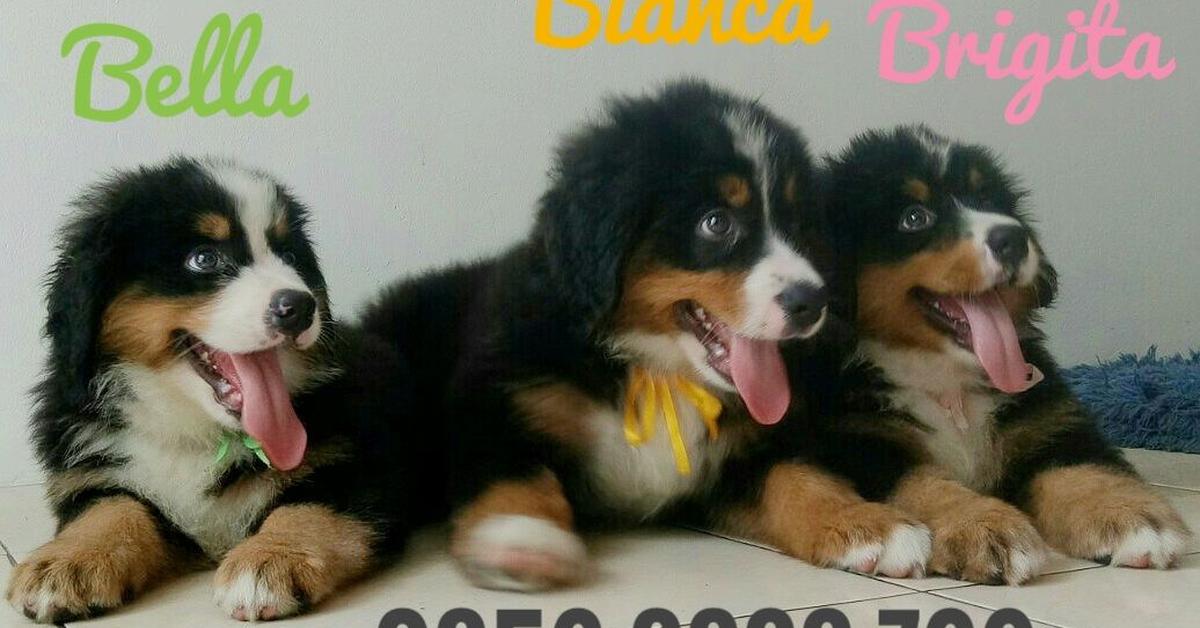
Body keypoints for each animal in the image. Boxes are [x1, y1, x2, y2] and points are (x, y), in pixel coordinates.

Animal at [2, 158, 427, 624]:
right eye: (204, 258)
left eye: (290, 256)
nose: (299, 307)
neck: (196, 431)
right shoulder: (92, 472)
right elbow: (109, 509)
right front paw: (65, 563)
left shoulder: (364, 466)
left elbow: (309, 506)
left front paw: (269, 560)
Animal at [360, 81, 931, 593]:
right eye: (716, 223)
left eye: (798, 225)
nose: (812, 301)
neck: (657, 368)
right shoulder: (497, 393)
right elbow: (513, 469)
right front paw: (521, 538)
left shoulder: (742, 453)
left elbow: (799, 476)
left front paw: (870, 526)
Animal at [811, 125, 1195, 588]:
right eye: (915, 217)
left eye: (989, 201)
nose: (1012, 238)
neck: (946, 380)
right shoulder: (862, 443)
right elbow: (926, 486)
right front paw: (985, 527)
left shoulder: (1046, 422)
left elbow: (1078, 471)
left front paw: (1134, 516)